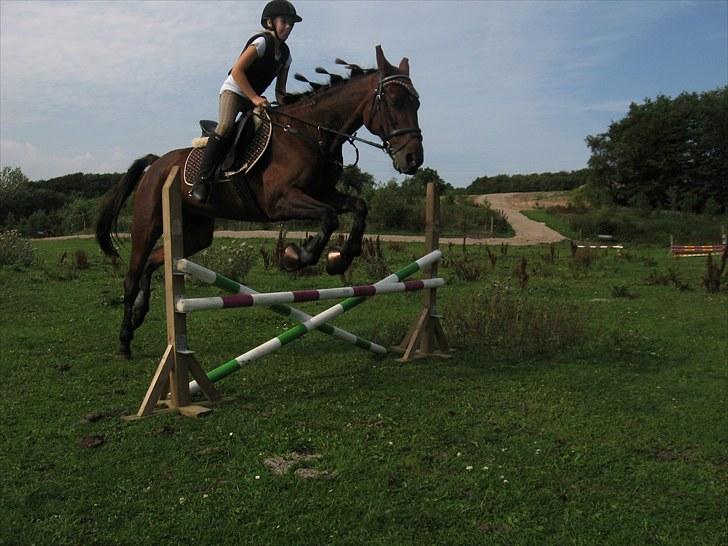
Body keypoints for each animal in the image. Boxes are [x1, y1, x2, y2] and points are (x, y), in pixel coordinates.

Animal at [94, 44, 424, 354]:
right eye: (395, 101)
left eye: (417, 102)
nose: (413, 159)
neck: (312, 134)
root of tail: (156, 164)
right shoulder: (280, 201)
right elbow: (329, 217)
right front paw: (297, 257)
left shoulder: (323, 193)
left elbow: (358, 207)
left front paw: (342, 257)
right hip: (147, 224)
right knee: (133, 273)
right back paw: (124, 340)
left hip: (196, 232)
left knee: (155, 259)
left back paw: (140, 313)